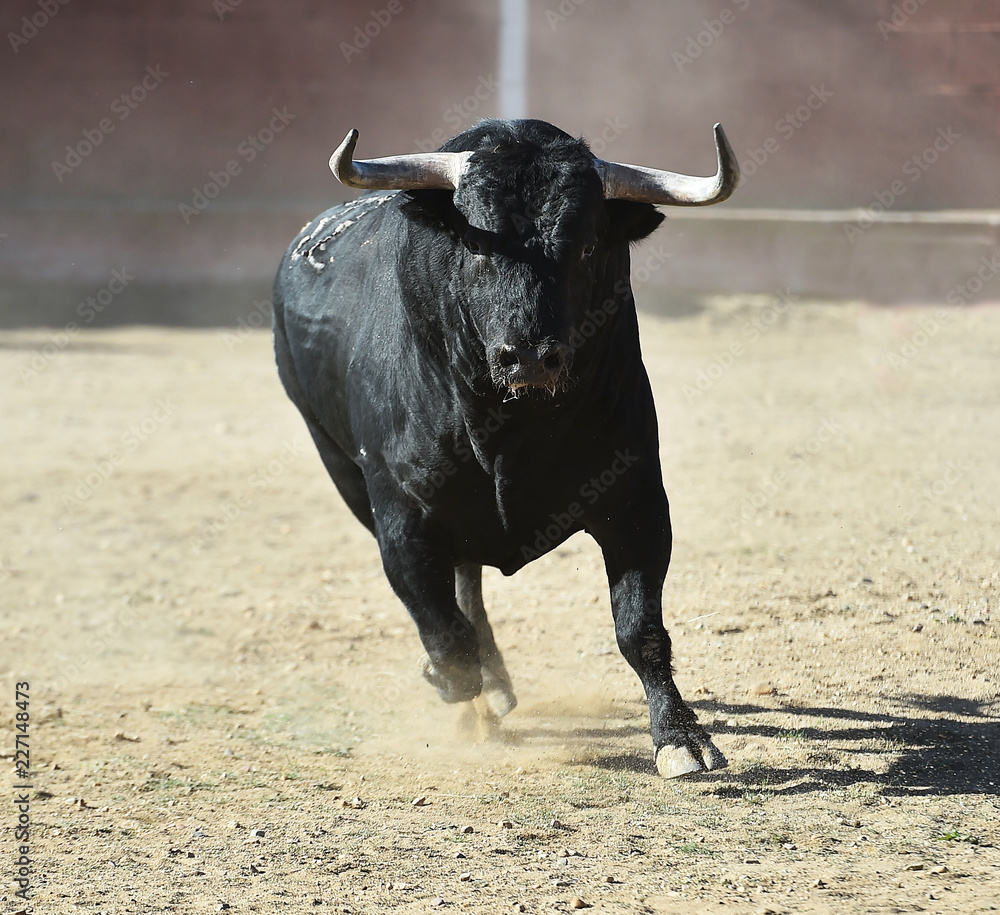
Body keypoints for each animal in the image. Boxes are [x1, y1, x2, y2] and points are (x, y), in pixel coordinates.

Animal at [270, 116, 740, 780]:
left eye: (587, 247)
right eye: (476, 247)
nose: (530, 357)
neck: (511, 428)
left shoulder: (638, 499)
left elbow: (640, 627)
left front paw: (680, 738)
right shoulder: (400, 515)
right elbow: (442, 629)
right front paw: (455, 690)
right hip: (337, 463)